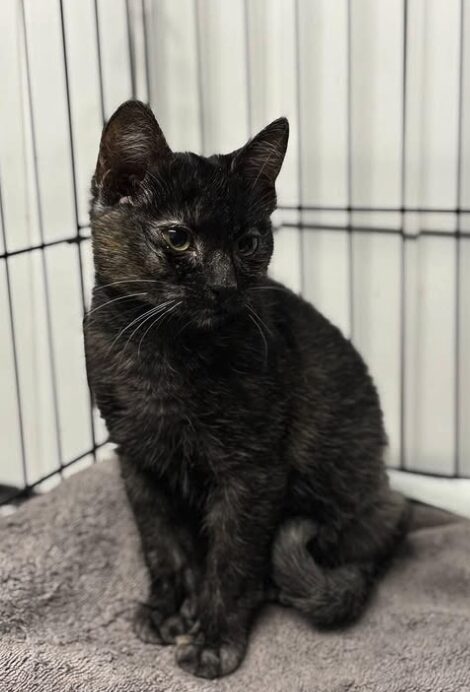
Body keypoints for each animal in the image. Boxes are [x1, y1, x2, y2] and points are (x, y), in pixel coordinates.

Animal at [83, 100, 408, 680]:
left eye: (248, 242)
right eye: (179, 237)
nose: (224, 285)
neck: (162, 355)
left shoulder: (251, 472)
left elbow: (231, 561)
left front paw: (213, 638)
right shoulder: (136, 461)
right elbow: (160, 546)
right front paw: (168, 608)